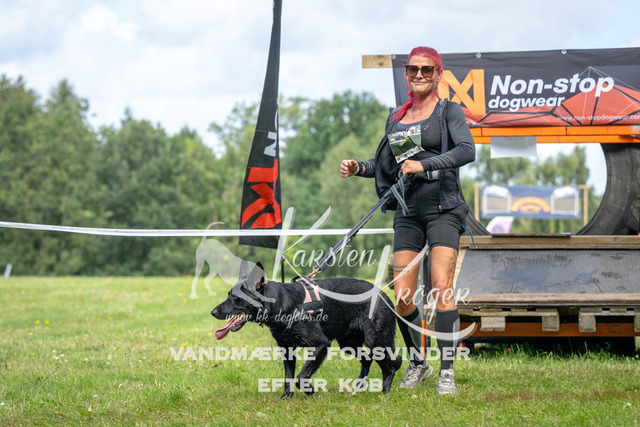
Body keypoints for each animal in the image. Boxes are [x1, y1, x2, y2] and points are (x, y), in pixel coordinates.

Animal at [211, 261, 402, 397]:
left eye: (234, 297)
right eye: (229, 295)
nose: (213, 312)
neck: (280, 303)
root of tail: (384, 295)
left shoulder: (321, 345)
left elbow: (300, 377)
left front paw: (309, 390)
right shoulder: (287, 349)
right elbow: (288, 377)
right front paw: (286, 397)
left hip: (375, 342)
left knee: (390, 366)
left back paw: (384, 391)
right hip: (349, 345)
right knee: (367, 360)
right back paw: (360, 385)